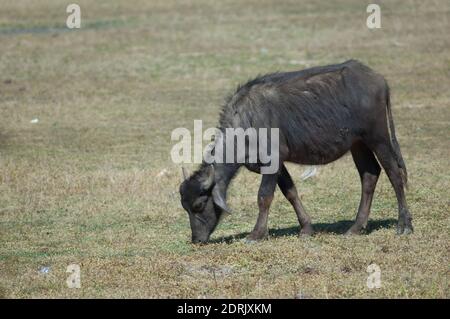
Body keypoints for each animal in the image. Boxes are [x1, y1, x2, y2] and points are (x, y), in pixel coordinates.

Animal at [178, 60, 412, 244]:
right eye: (185, 207)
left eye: (199, 205)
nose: (197, 239)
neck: (247, 123)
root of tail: (378, 79)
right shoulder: (276, 165)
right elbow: (290, 192)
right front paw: (306, 229)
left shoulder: (272, 160)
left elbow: (264, 196)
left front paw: (256, 234)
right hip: (358, 144)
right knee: (369, 175)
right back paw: (356, 227)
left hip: (378, 137)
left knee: (394, 173)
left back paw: (404, 224)